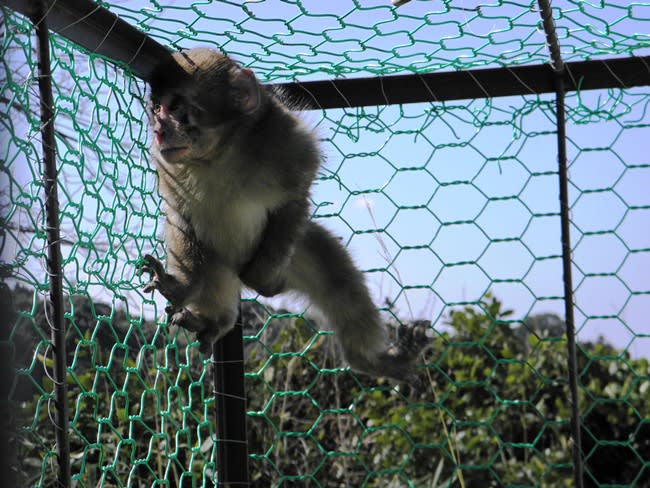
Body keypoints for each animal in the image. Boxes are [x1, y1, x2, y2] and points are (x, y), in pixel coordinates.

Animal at [139, 48, 428, 386]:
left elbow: (295, 196)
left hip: (289, 254)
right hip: (221, 266)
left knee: (337, 278)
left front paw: (261, 281)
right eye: (157, 108)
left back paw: (374, 360)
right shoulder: (166, 165)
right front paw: (182, 287)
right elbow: (179, 215)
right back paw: (214, 319)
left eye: (176, 107)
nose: (159, 130)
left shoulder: (285, 140)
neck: (218, 155)